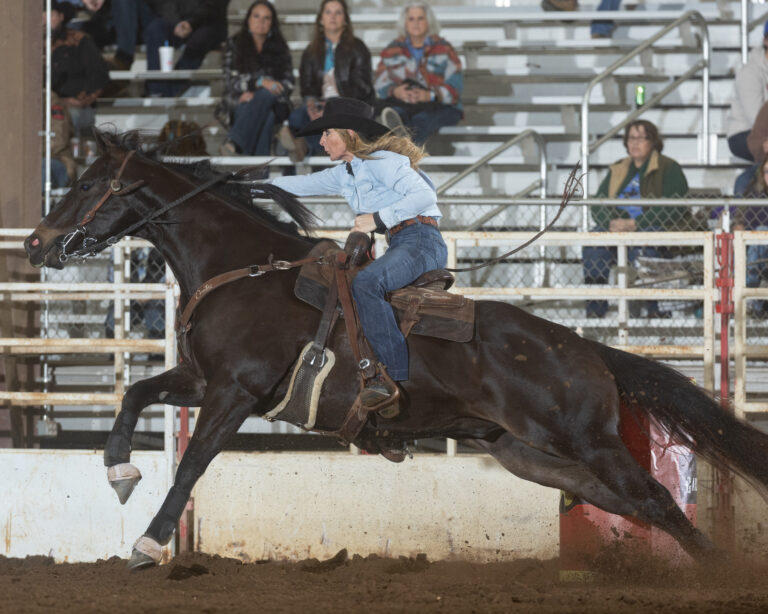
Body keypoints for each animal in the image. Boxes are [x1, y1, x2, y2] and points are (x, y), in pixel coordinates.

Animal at [24, 131, 768, 570]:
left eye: (86, 184)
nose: (34, 243)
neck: (243, 268)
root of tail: (584, 348)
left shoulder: (234, 392)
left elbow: (192, 463)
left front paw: (149, 541)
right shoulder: (201, 379)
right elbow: (134, 394)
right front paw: (120, 471)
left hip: (589, 440)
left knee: (657, 499)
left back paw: (719, 576)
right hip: (528, 454)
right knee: (629, 504)